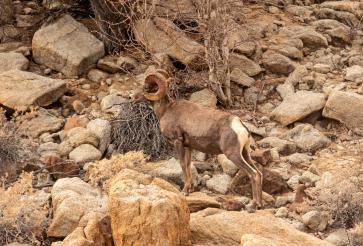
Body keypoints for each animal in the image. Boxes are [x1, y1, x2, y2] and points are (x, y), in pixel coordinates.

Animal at [136, 69, 264, 208]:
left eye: (146, 87)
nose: (132, 97)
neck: (166, 111)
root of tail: (239, 125)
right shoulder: (189, 147)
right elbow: (188, 165)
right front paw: (190, 189)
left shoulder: (177, 142)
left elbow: (182, 164)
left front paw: (185, 191)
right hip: (245, 153)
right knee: (259, 173)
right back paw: (259, 204)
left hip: (233, 155)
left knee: (253, 174)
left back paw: (253, 204)